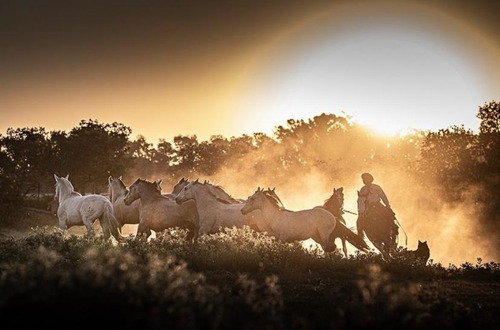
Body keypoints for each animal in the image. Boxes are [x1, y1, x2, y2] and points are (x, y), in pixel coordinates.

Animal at [240, 187, 370, 254]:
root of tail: (333, 216)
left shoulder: (283, 237)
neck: (275, 216)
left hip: (324, 235)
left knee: (331, 248)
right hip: (318, 237)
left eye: (252, 198)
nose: (242, 210)